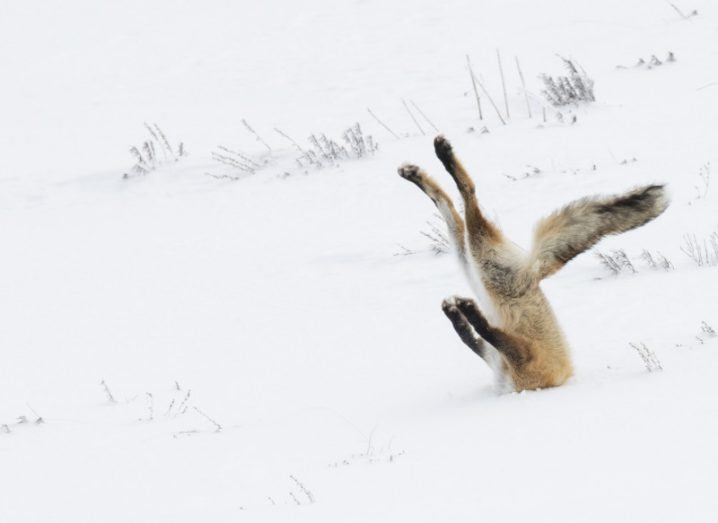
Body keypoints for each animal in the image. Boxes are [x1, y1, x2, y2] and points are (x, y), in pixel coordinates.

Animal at [400, 136, 668, 392]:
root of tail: (534, 272)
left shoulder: (523, 359)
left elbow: (484, 332)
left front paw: (466, 311)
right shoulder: (499, 357)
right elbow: (470, 336)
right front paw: (457, 312)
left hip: (482, 261)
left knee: (468, 195)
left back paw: (443, 156)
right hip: (472, 262)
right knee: (448, 205)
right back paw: (417, 172)